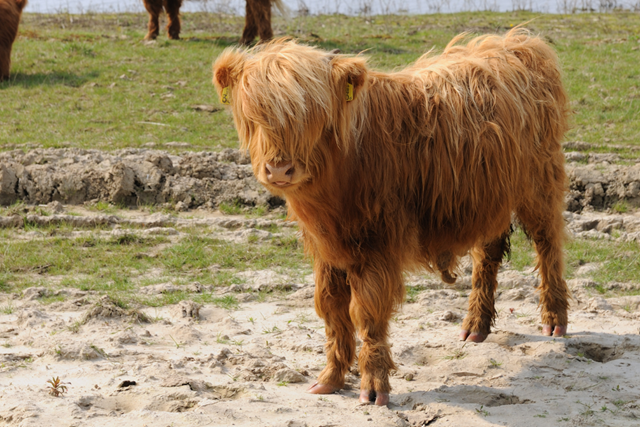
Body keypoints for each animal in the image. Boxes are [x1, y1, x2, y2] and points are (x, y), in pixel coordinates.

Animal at [145, 0, 288, 44]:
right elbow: (171, 8)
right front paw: (173, 33)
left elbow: (153, 10)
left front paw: (151, 34)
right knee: (253, 10)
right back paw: (246, 39)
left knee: (260, 9)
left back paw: (265, 40)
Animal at [214, 29, 568, 404]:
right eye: (253, 114)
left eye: (313, 115)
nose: (280, 169)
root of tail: (516, 40)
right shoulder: (325, 249)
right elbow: (331, 307)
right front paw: (330, 377)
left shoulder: (377, 245)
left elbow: (367, 312)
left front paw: (373, 387)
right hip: (490, 197)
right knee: (488, 253)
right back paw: (475, 326)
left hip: (540, 184)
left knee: (548, 245)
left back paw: (555, 319)